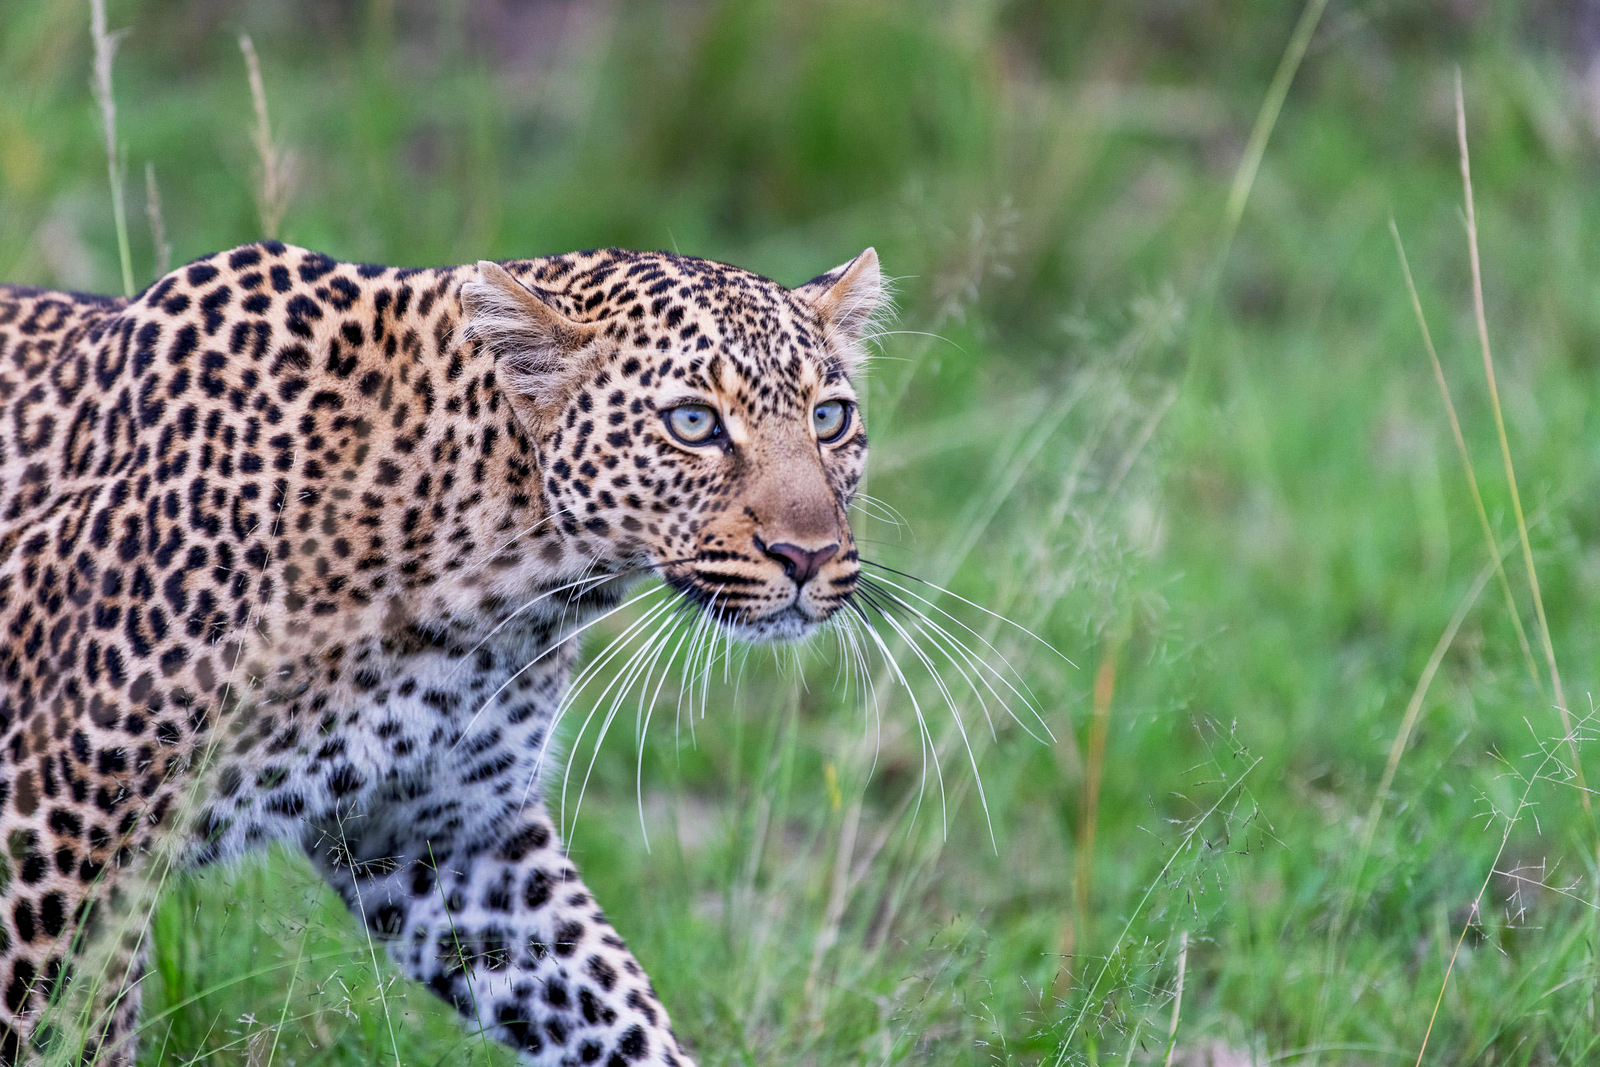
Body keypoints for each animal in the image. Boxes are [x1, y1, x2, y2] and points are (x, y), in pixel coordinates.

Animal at [0, 238, 884, 1065]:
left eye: (829, 418)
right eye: (694, 423)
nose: (808, 556)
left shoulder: (443, 831)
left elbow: (607, 999)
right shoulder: (59, 823)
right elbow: (59, 1027)